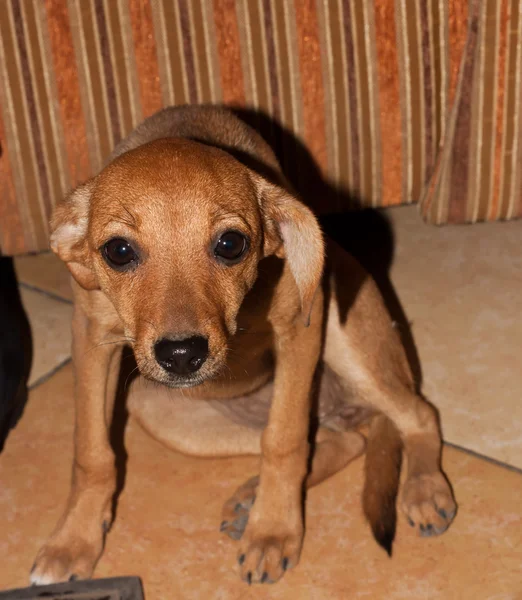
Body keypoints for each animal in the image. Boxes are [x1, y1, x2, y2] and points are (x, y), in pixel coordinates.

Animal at [30, 104, 452, 584]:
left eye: (231, 244)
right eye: (118, 251)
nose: (182, 356)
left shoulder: (300, 330)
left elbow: (283, 441)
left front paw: (272, 532)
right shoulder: (91, 340)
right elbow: (91, 453)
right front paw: (73, 542)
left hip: (348, 344)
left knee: (418, 415)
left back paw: (424, 488)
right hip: (157, 408)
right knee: (343, 441)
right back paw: (252, 497)